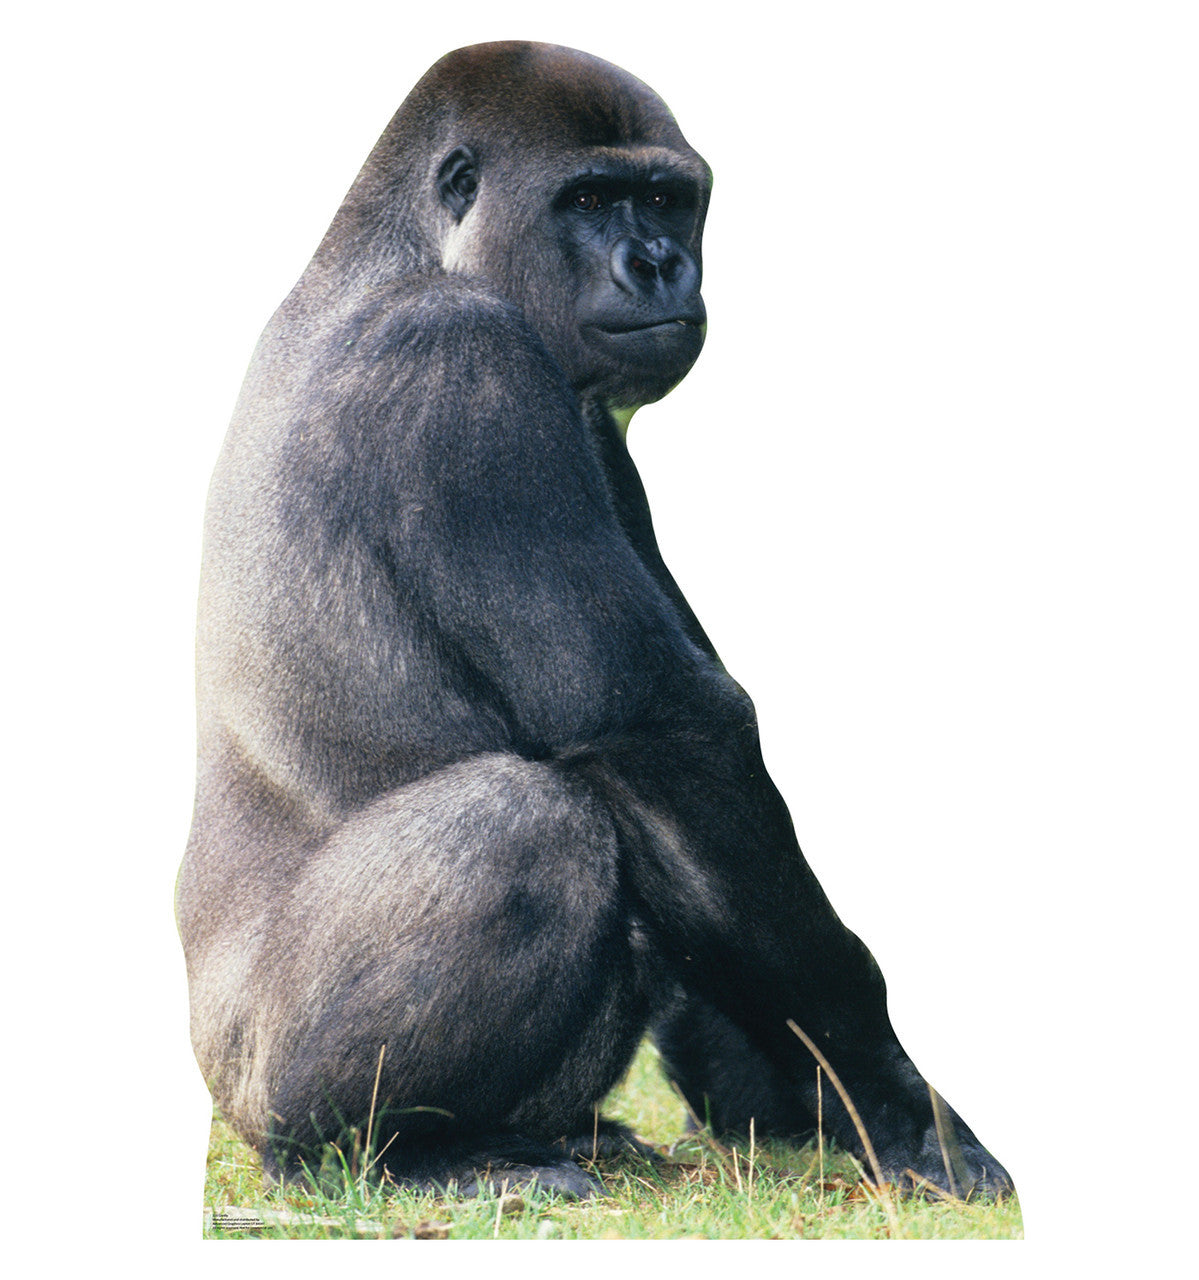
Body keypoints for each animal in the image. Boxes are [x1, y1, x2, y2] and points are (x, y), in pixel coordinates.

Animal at [177, 40, 1013, 1199]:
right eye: (587, 199)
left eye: (664, 199)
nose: (657, 264)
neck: (400, 255)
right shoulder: (463, 362)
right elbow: (662, 733)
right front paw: (888, 1096)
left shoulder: (592, 419)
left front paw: (780, 1088)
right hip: (257, 1082)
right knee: (526, 824)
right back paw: (394, 1151)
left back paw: (557, 1131)